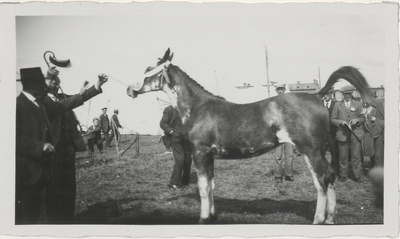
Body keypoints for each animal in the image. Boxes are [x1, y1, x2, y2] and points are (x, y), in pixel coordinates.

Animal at [127, 48, 376, 224]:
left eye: (149, 69)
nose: (129, 89)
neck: (198, 108)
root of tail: (318, 95)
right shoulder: (209, 157)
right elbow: (211, 185)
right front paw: (213, 217)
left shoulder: (200, 154)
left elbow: (202, 187)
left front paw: (203, 219)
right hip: (318, 151)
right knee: (330, 177)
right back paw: (331, 219)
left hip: (311, 151)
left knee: (322, 180)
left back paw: (318, 220)